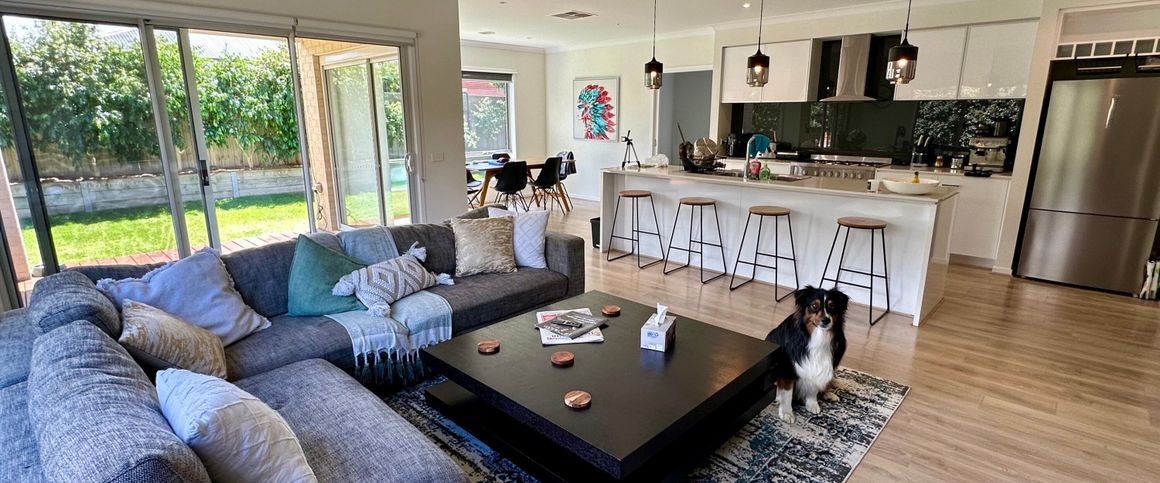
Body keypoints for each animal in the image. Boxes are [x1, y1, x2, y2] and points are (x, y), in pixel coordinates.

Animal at [765, 286, 849, 423]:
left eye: (832, 306)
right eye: (814, 306)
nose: (826, 320)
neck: (816, 335)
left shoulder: (818, 365)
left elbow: (814, 385)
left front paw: (812, 404)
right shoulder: (787, 368)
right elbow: (787, 393)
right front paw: (787, 412)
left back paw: (829, 394)